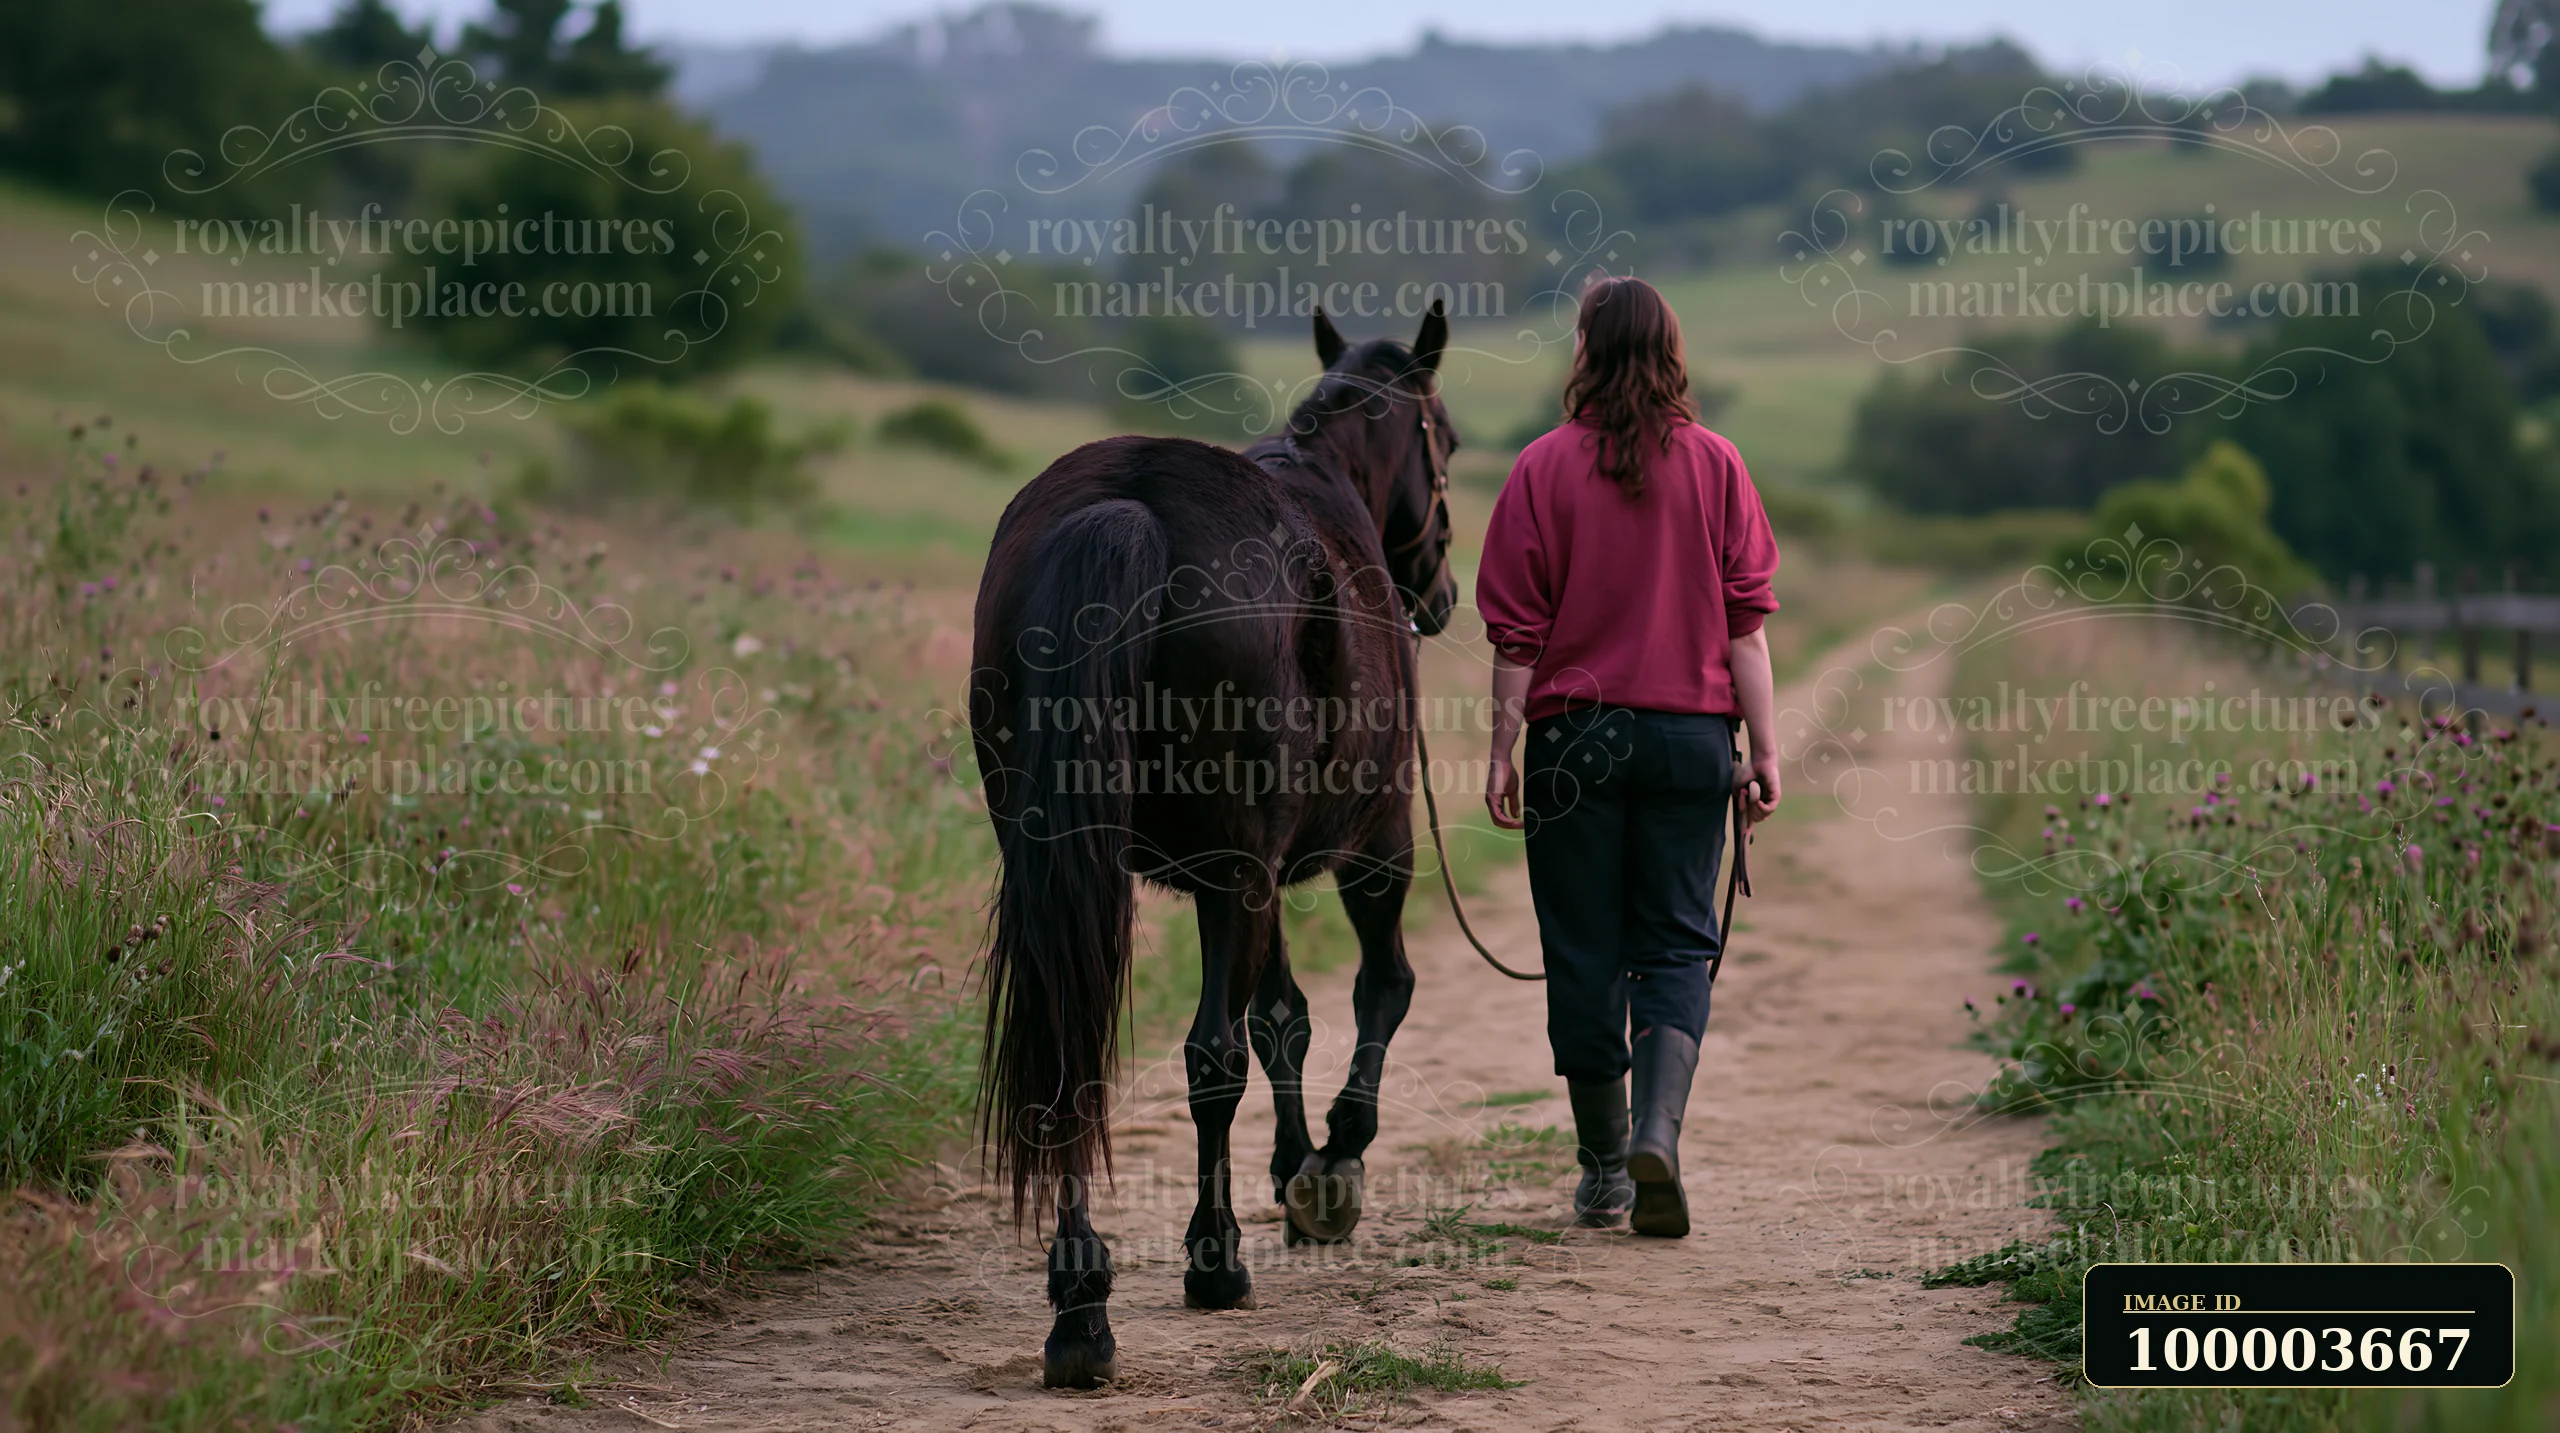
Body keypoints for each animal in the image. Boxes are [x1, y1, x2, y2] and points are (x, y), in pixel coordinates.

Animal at [969, 302, 1460, 1388]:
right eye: (1446, 441)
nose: (1443, 594)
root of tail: (1125, 510)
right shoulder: (1366, 846)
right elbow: (1375, 990)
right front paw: (1333, 1160)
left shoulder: (1244, 876)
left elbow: (1283, 1015)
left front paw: (1293, 1165)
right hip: (1260, 865)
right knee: (1211, 1057)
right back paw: (1212, 1259)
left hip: (1078, 862)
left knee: (1074, 1051)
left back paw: (1080, 1304)